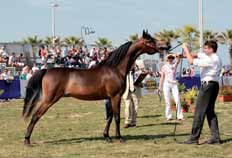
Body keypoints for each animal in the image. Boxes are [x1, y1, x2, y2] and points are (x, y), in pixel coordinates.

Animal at [22, 30, 167, 146]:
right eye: (150, 40)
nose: (166, 46)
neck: (114, 69)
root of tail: (46, 70)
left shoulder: (109, 98)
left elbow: (109, 117)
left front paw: (107, 136)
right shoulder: (116, 97)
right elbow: (117, 117)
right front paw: (119, 138)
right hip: (49, 99)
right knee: (35, 115)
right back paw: (27, 140)